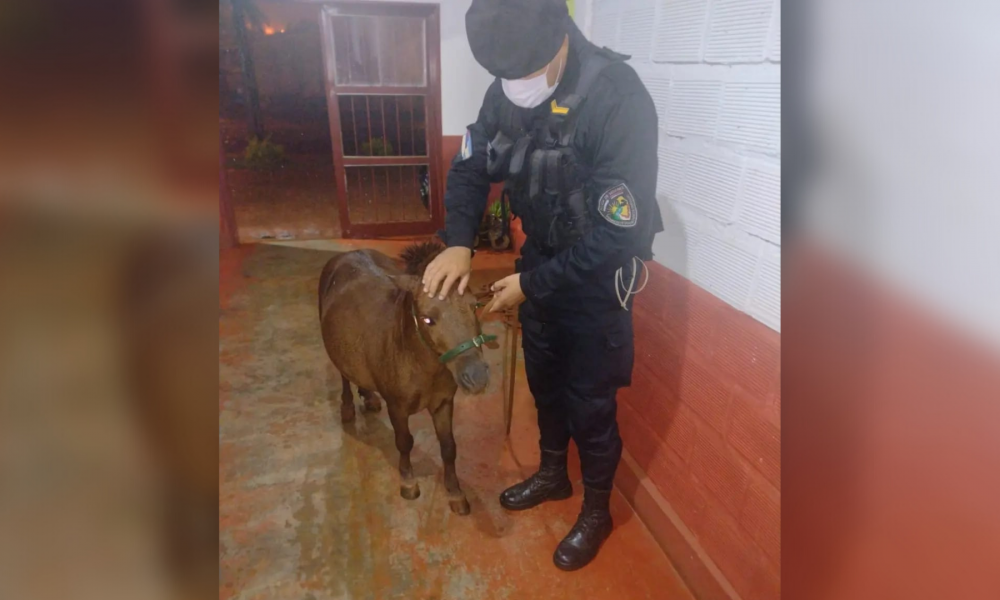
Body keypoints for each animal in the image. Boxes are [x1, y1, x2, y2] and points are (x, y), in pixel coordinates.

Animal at [318, 241, 490, 512]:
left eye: (474, 306)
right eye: (427, 319)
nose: (477, 377)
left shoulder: (443, 404)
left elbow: (449, 447)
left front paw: (455, 494)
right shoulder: (397, 408)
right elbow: (404, 442)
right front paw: (408, 483)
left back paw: (369, 397)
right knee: (344, 375)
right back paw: (347, 409)